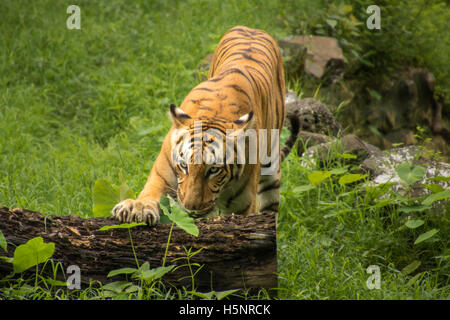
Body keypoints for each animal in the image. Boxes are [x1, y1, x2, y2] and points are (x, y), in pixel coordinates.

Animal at [111, 25, 298, 225]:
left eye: (214, 169)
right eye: (184, 165)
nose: (190, 208)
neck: (215, 113)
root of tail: (251, 28)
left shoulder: (244, 204)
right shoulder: (162, 174)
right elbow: (150, 192)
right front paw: (135, 208)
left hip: (272, 166)